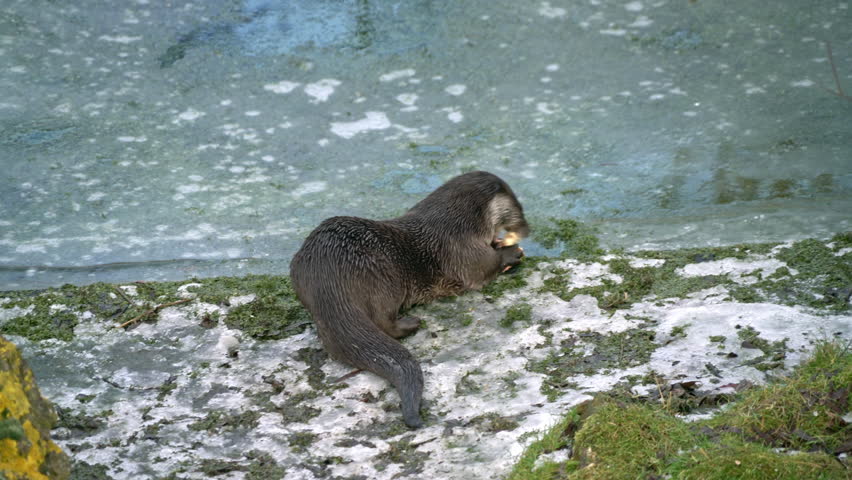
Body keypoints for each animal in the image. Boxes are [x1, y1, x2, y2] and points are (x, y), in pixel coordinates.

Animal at [289, 171, 529, 428]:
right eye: (519, 209)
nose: (526, 229)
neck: (458, 224)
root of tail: (326, 280)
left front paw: (500, 243)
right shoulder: (463, 251)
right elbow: (484, 268)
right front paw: (511, 252)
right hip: (385, 280)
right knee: (383, 320)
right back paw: (411, 323)